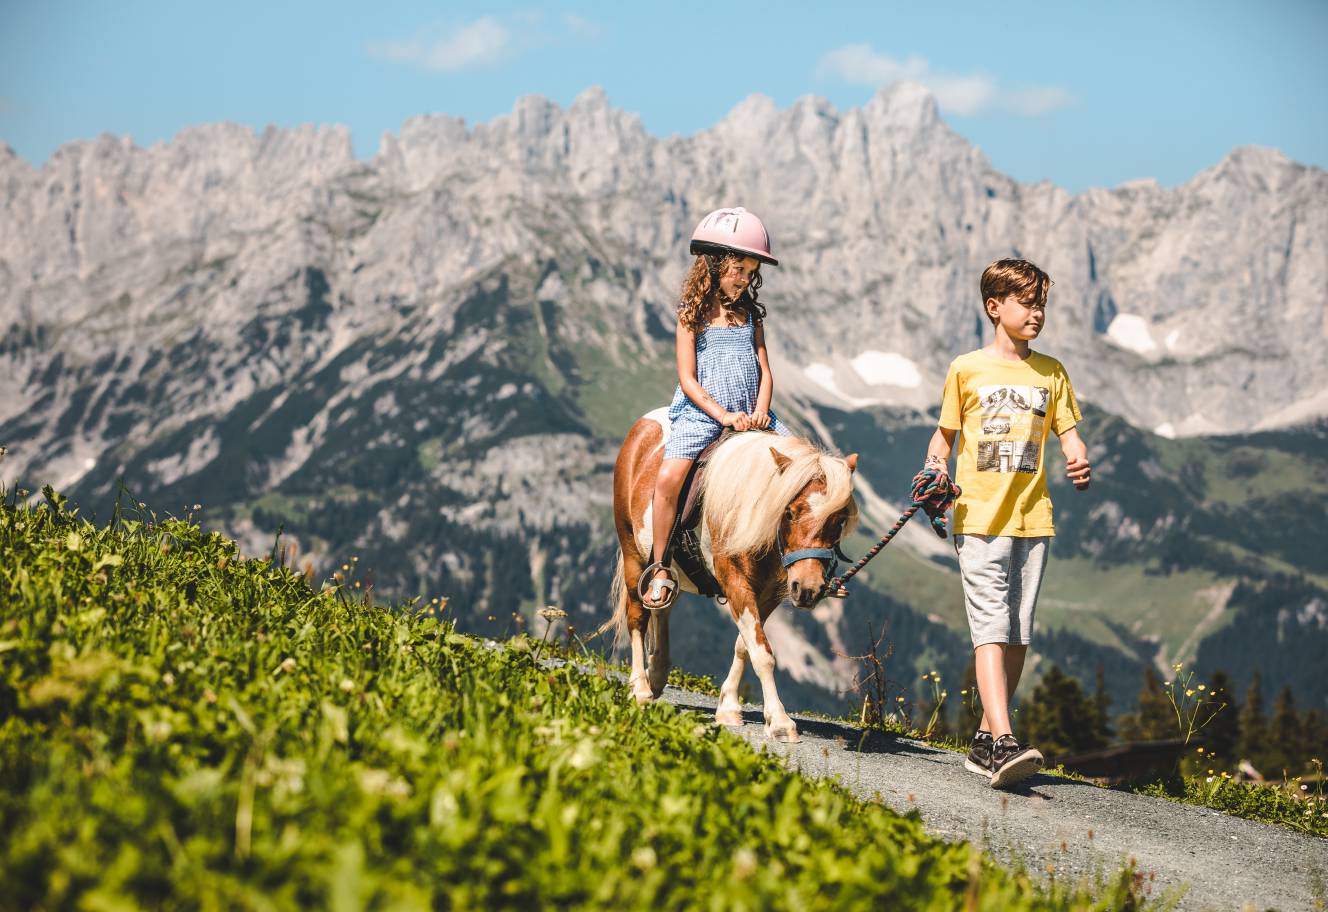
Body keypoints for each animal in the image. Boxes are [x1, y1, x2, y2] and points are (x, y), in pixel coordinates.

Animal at [608, 411, 855, 743]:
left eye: (839, 521)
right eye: (790, 512)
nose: (808, 588)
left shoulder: (769, 593)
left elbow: (746, 645)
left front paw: (728, 707)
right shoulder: (735, 580)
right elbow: (762, 652)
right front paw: (780, 721)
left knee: (661, 606)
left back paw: (657, 674)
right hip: (633, 552)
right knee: (637, 616)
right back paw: (641, 689)